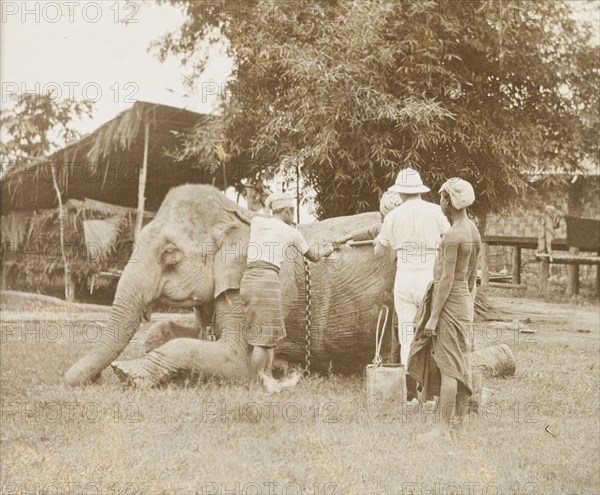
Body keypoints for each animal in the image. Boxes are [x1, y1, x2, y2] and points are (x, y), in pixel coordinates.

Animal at [65, 184, 396, 390]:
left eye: (170, 255)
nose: (93, 379)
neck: (234, 216)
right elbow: (173, 332)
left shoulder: (246, 286)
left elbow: (235, 359)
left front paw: (126, 373)